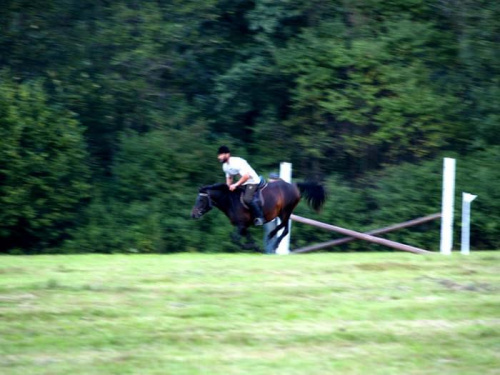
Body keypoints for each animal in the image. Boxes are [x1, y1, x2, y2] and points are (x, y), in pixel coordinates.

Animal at [189, 180, 326, 253]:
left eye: (200, 200)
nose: (193, 214)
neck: (230, 200)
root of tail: (294, 185)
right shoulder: (243, 226)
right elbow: (246, 238)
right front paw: (255, 247)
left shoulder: (241, 225)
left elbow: (235, 238)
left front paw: (249, 247)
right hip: (283, 213)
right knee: (285, 228)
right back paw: (273, 242)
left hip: (285, 211)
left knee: (284, 227)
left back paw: (272, 239)